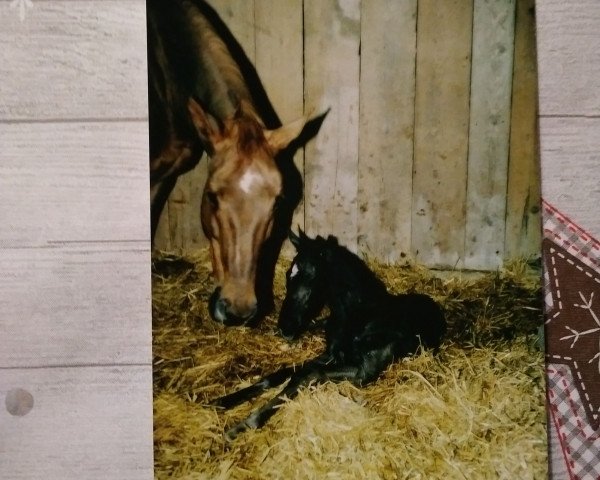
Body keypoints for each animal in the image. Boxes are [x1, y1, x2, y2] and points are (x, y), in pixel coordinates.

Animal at [211, 231, 446, 440]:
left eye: (310, 276)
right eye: (288, 275)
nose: (285, 327)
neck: (361, 315)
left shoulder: (363, 371)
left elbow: (307, 374)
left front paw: (246, 423)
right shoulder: (330, 355)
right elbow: (282, 374)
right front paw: (222, 401)